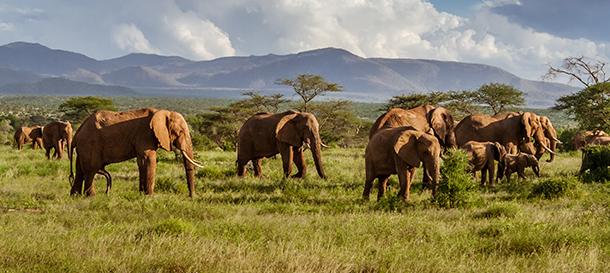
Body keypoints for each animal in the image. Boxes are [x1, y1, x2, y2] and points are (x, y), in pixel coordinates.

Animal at [68, 107, 202, 197]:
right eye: (180, 132)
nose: (192, 196)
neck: (163, 112)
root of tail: (77, 133)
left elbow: (141, 162)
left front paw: (142, 194)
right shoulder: (146, 135)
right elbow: (149, 160)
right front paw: (150, 197)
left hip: (84, 148)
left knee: (80, 170)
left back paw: (75, 196)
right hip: (90, 145)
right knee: (91, 170)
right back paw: (91, 196)